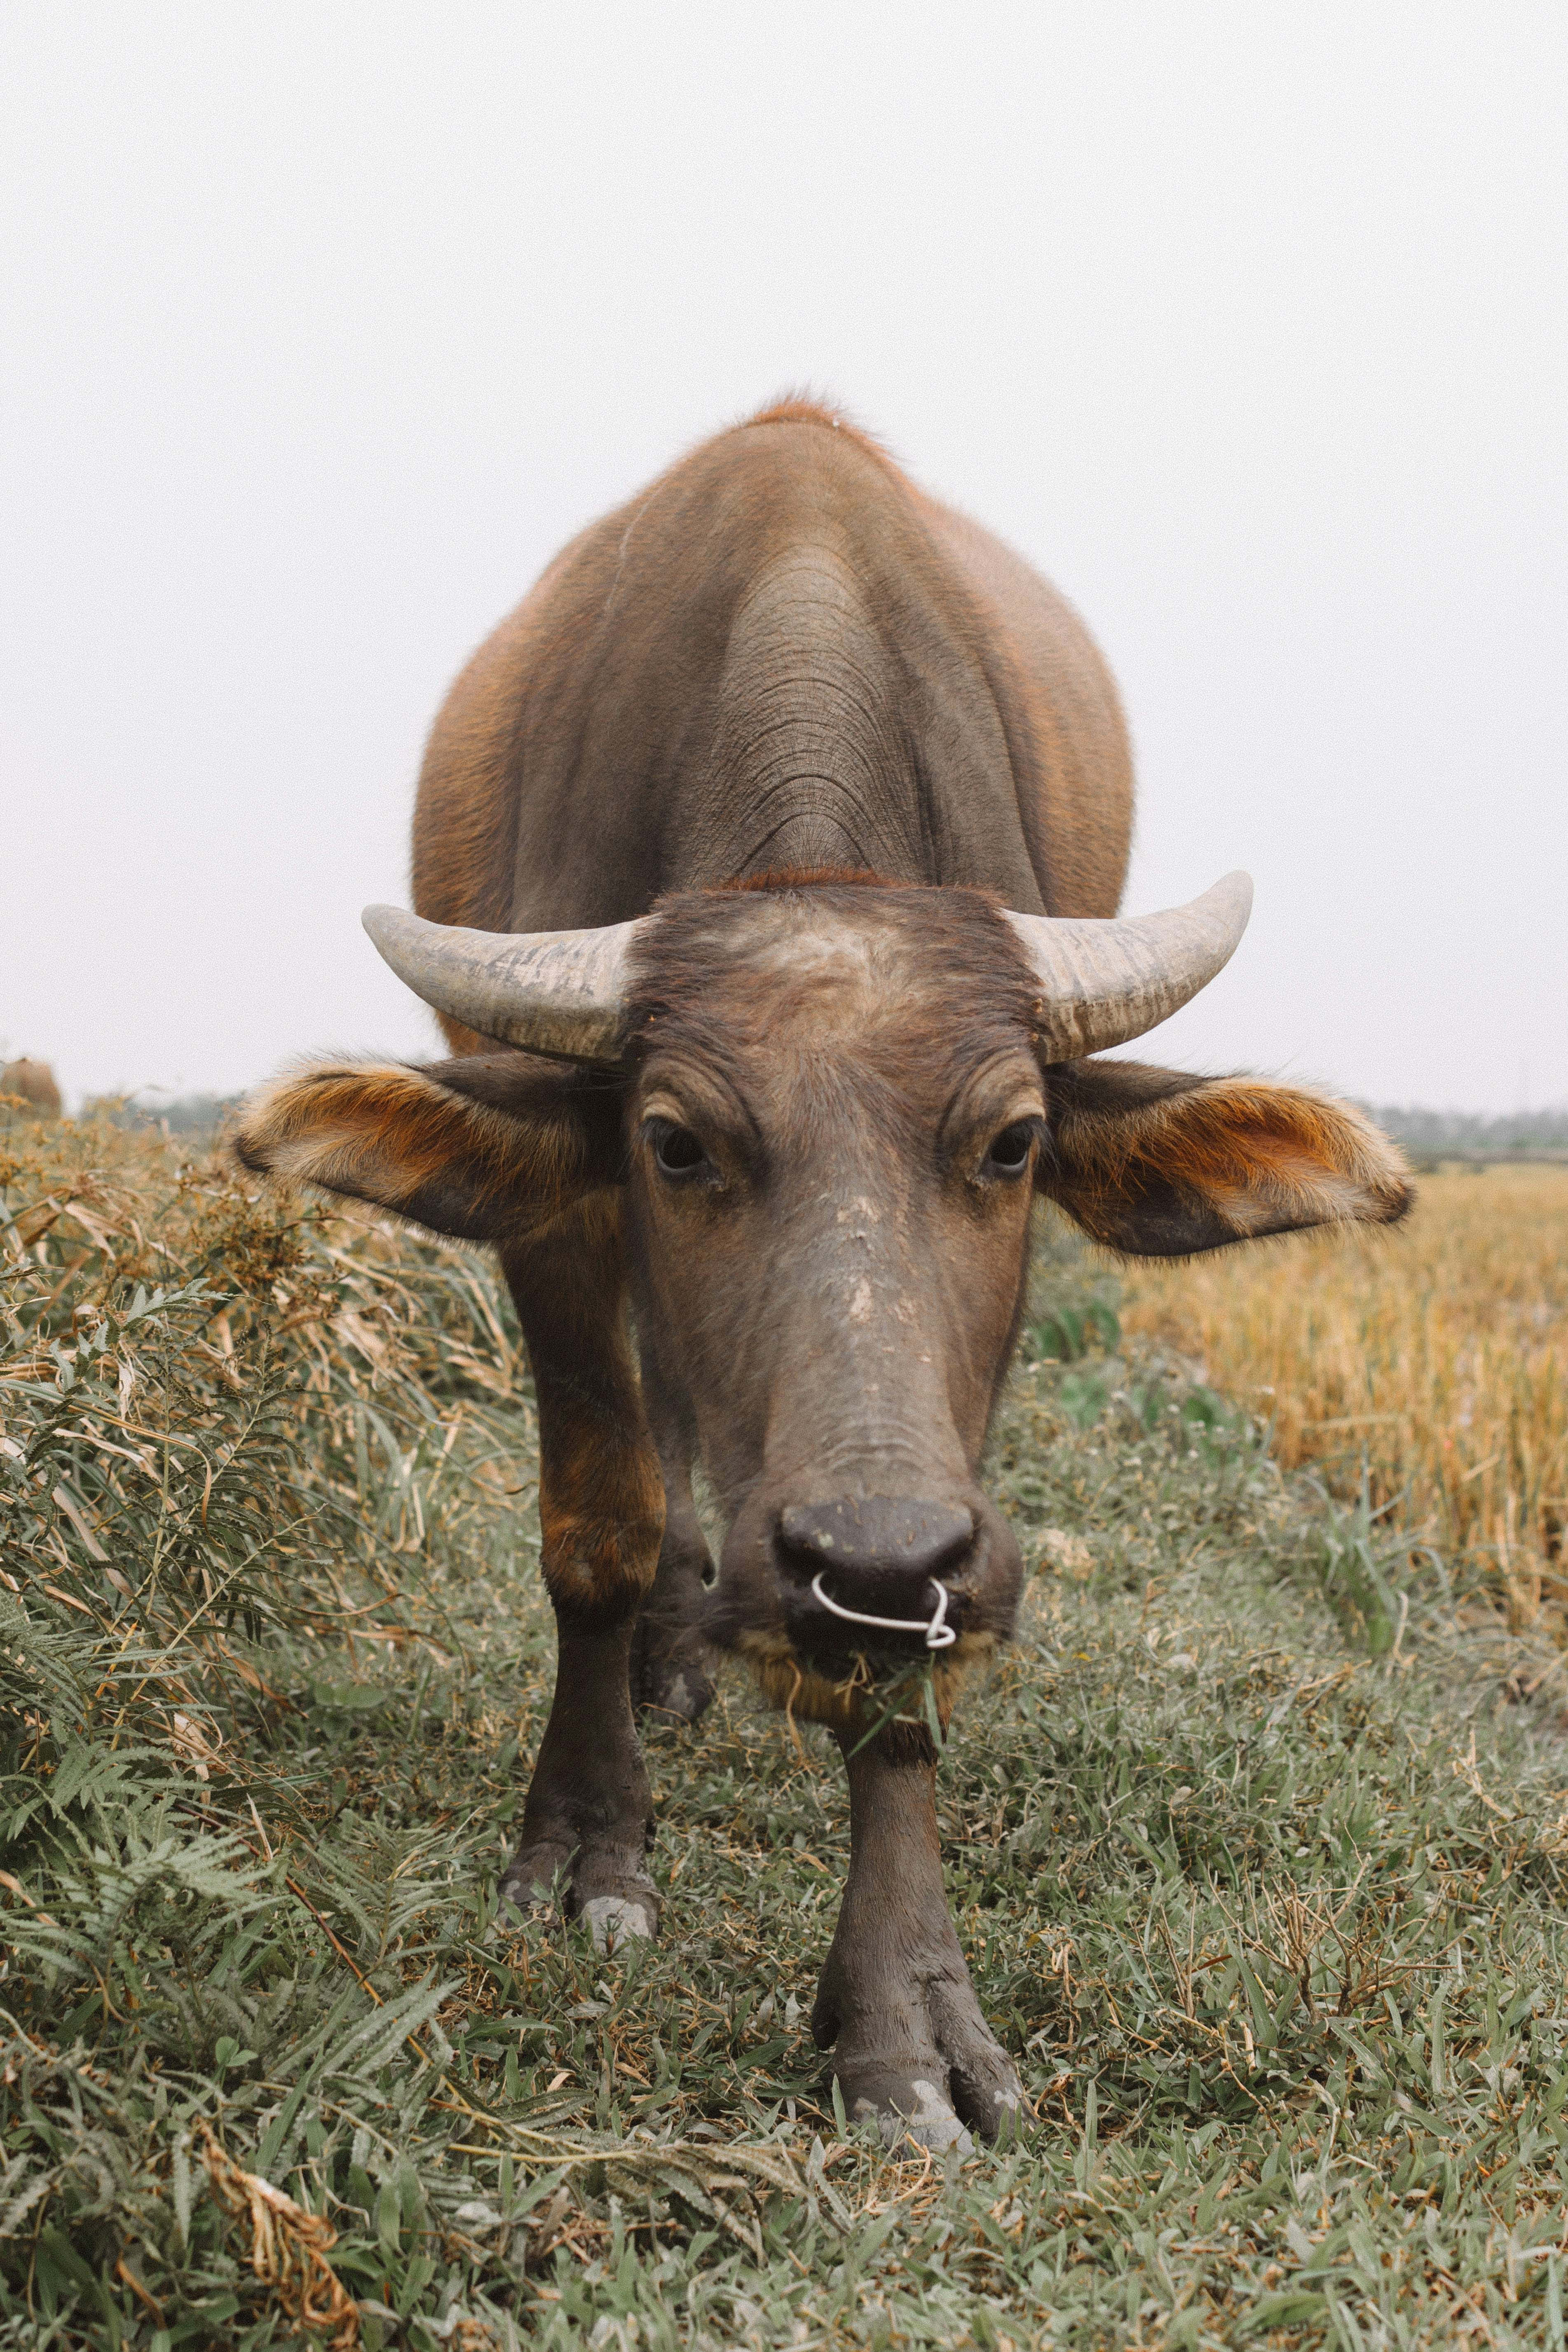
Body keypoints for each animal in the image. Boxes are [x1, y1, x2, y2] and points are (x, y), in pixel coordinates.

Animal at [238, 401, 1408, 2149]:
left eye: (1009, 1140)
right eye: (671, 1139)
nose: (856, 1553)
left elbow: (903, 1684)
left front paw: (903, 2016)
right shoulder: (563, 1227)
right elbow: (595, 1525)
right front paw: (586, 1844)